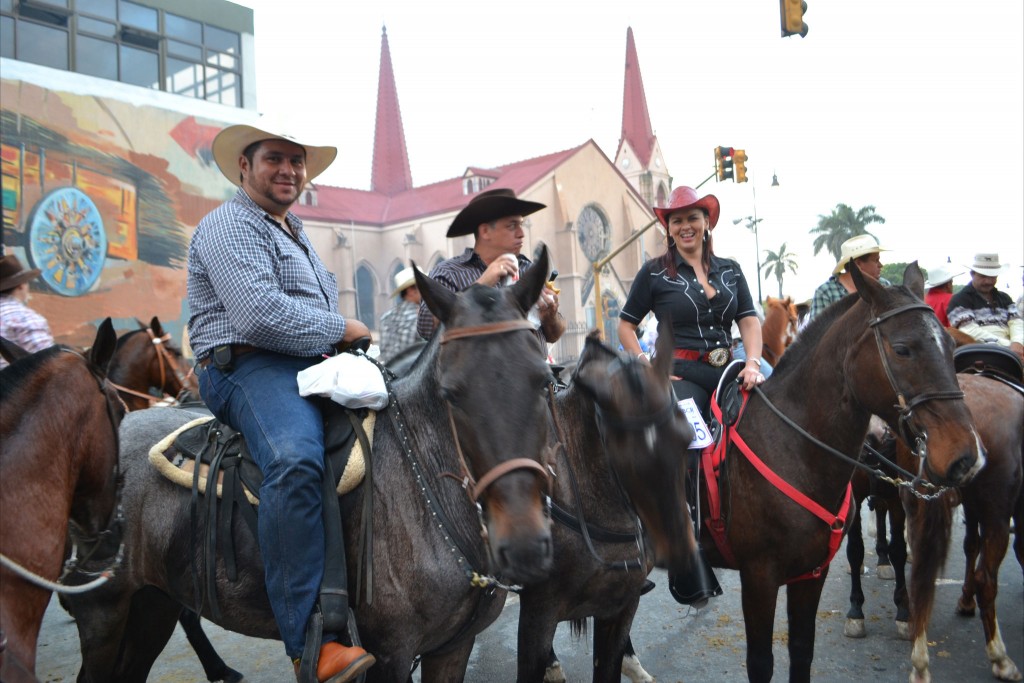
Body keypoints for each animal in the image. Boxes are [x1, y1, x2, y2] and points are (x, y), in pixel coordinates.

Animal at [66, 250, 561, 683]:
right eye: (451, 393)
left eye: (543, 381)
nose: (524, 545)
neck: (421, 485)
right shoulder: (391, 653)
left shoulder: (452, 649)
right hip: (104, 611)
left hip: (152, 604)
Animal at [647, 264, 983, 683]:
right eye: (903, 348)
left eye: (951, 348)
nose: (965, 456)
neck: (792, 445)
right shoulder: (758, 577)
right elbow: (761, 663)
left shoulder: (810, 573)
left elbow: (801, 652)